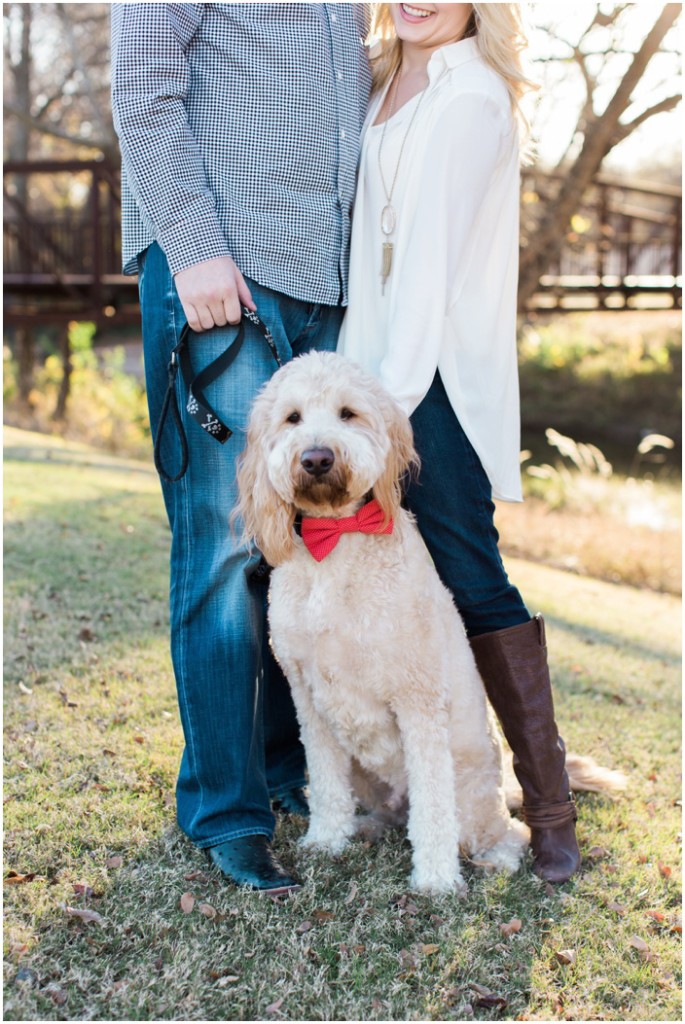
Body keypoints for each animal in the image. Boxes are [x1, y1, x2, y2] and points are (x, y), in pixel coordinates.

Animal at [235, 348, 532, 892]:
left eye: (348, 414)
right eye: (292, 418)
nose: (316, 458)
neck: (335, 540)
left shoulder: (418, 697)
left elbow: (434, 806)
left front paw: (435, 880)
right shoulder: (306, 694)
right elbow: (325, 783)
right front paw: (326, 839)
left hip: (474, 791)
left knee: (505, 830)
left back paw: (496, 857)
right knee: (391, 813)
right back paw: (366, 827)